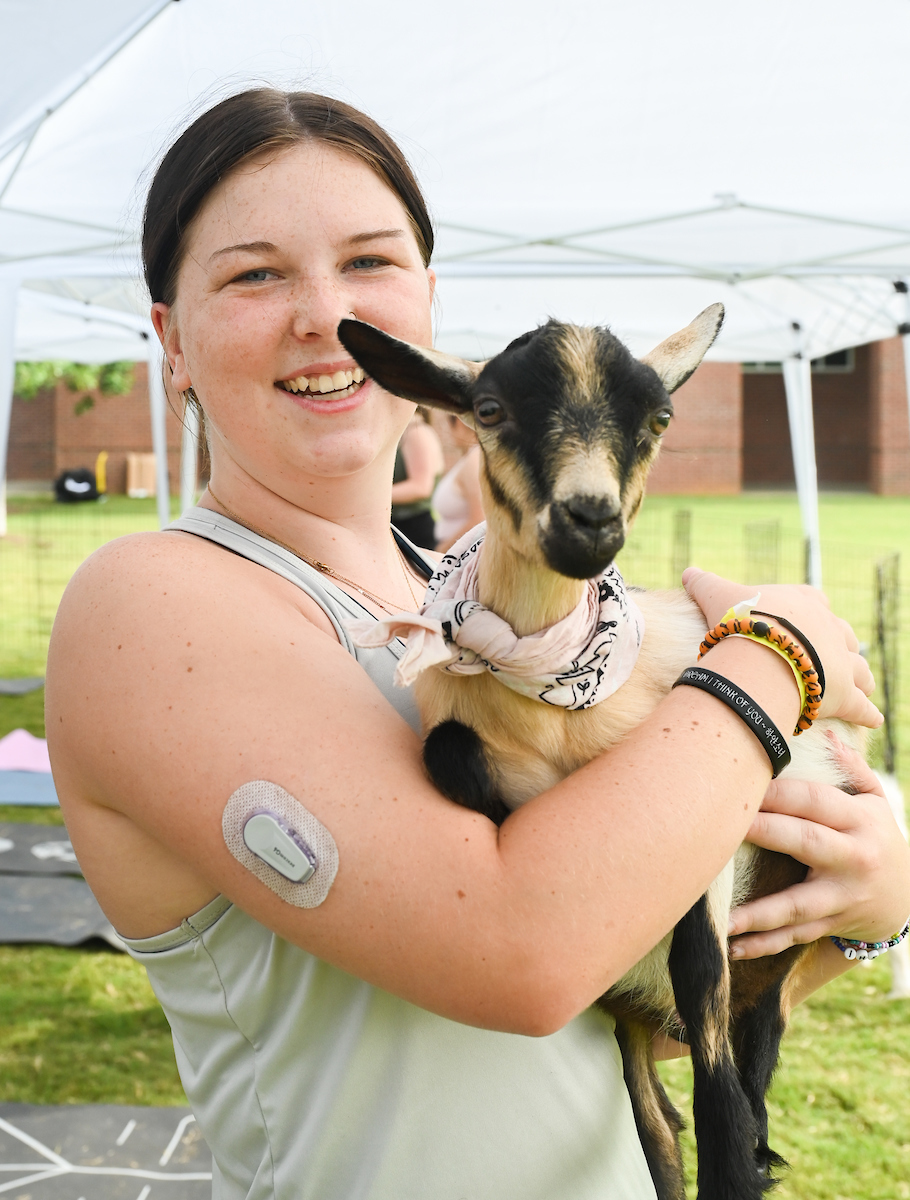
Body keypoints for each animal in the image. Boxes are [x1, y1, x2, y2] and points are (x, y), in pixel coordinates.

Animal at [339, 309, 864, 1200]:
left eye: (660, 419)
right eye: (488, 410)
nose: (589, 519)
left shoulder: (700, 837)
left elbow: (702, 971)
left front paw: (732, 1162)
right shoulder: (462, 732)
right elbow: (447, 749)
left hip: (774, 948)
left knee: (750, 1046)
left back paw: (749, 1148)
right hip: (633, 1024)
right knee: (655, 1124)